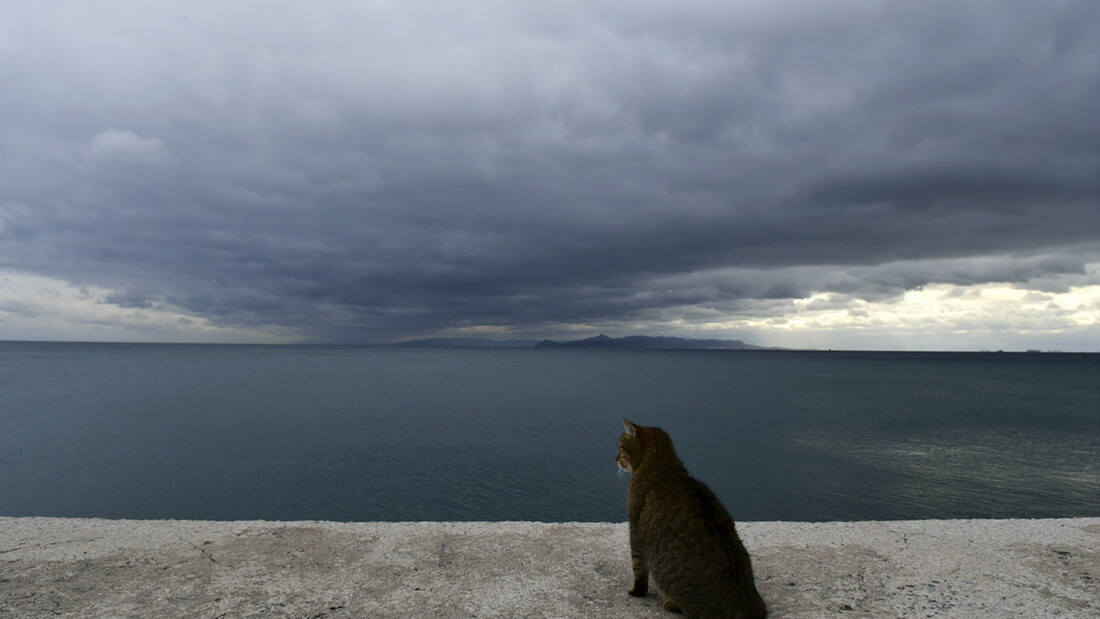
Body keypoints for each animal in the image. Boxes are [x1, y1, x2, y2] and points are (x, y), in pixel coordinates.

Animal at [620, 419, 765, 615]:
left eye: (620, 447)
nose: (616, 459)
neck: (663, 465)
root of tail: (746, 605)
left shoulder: (635, 532)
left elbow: (638, 571)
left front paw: (635, 591)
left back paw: (671, 604)